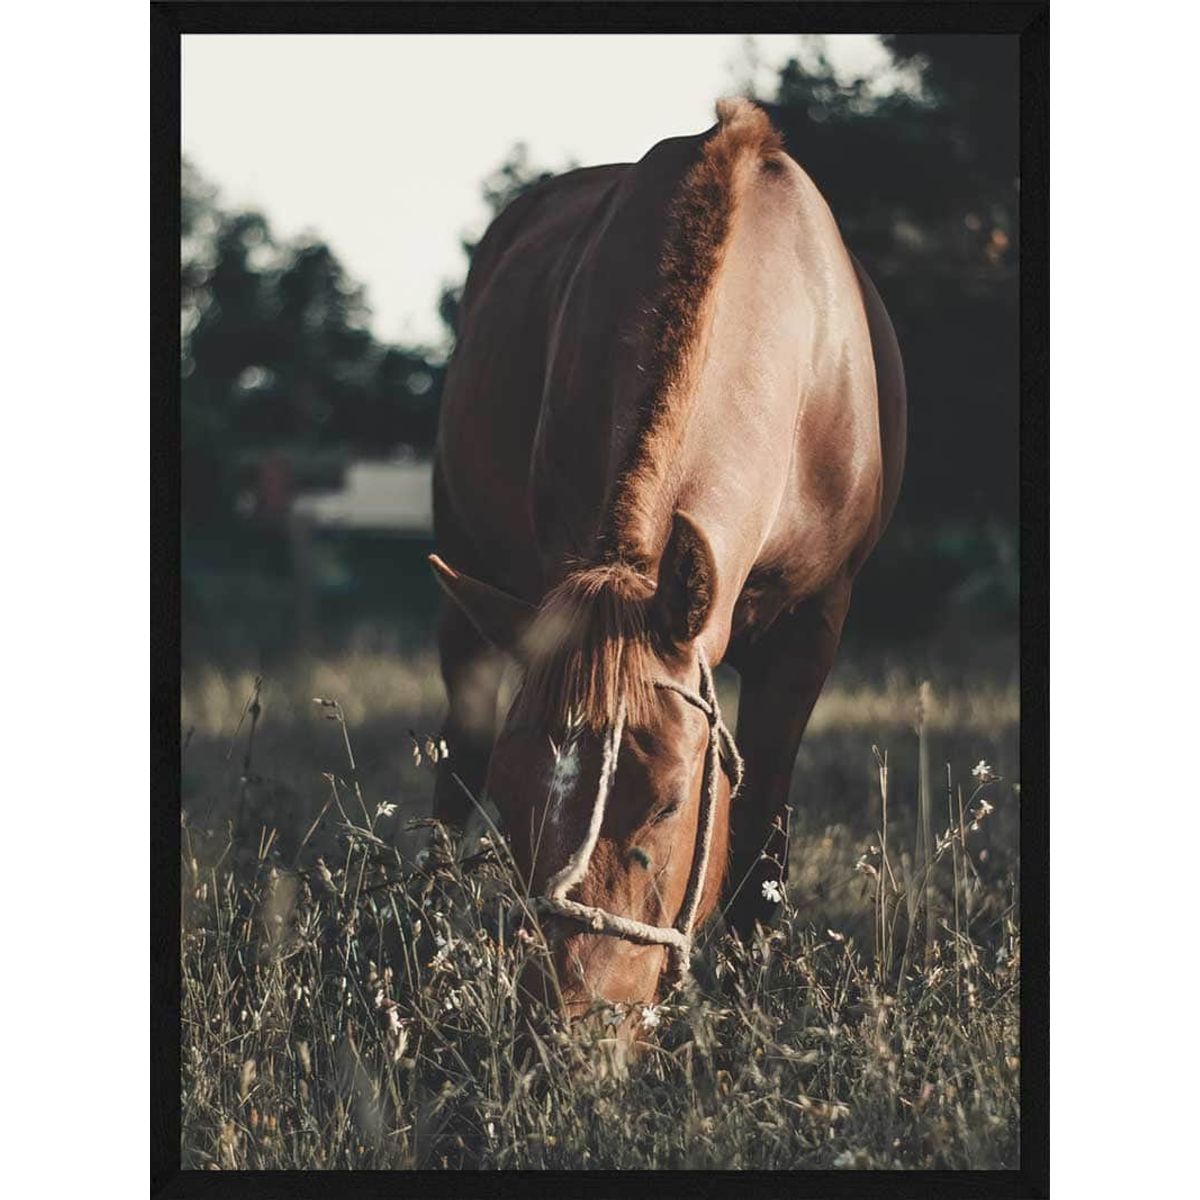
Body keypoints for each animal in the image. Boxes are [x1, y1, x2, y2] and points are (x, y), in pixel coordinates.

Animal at [427, 100, 902, 1012]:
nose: (574, 1021)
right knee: (451, 763)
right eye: (513, 799)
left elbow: (763, 838)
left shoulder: (814, 629)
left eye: (673, 805)